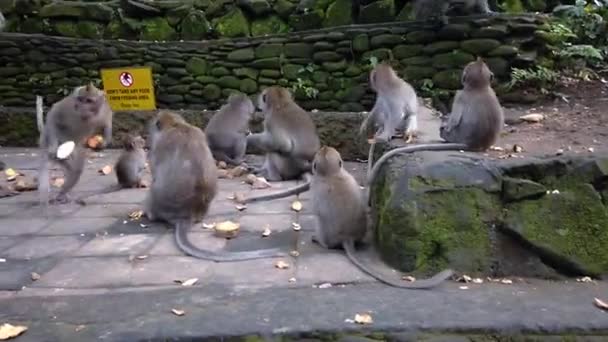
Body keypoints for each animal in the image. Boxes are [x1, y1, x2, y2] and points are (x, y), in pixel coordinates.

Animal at [312, 146, 454, 290]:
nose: (324, 147)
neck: (332, 174)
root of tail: (348, 237)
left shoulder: (316, 187)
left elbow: (316, 212)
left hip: (328, 237)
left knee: (319, 222)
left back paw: (320, 241)